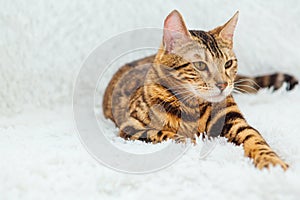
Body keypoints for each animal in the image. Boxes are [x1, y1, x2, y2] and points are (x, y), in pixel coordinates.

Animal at [102, 10, 298, 170]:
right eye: (200, 65)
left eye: (228, 64)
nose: (223, 84)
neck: (190, 108)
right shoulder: (131, 127)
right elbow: (165, 134)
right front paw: (190, 142)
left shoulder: (234, 120)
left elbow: (254, 139)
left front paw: (272, 162)